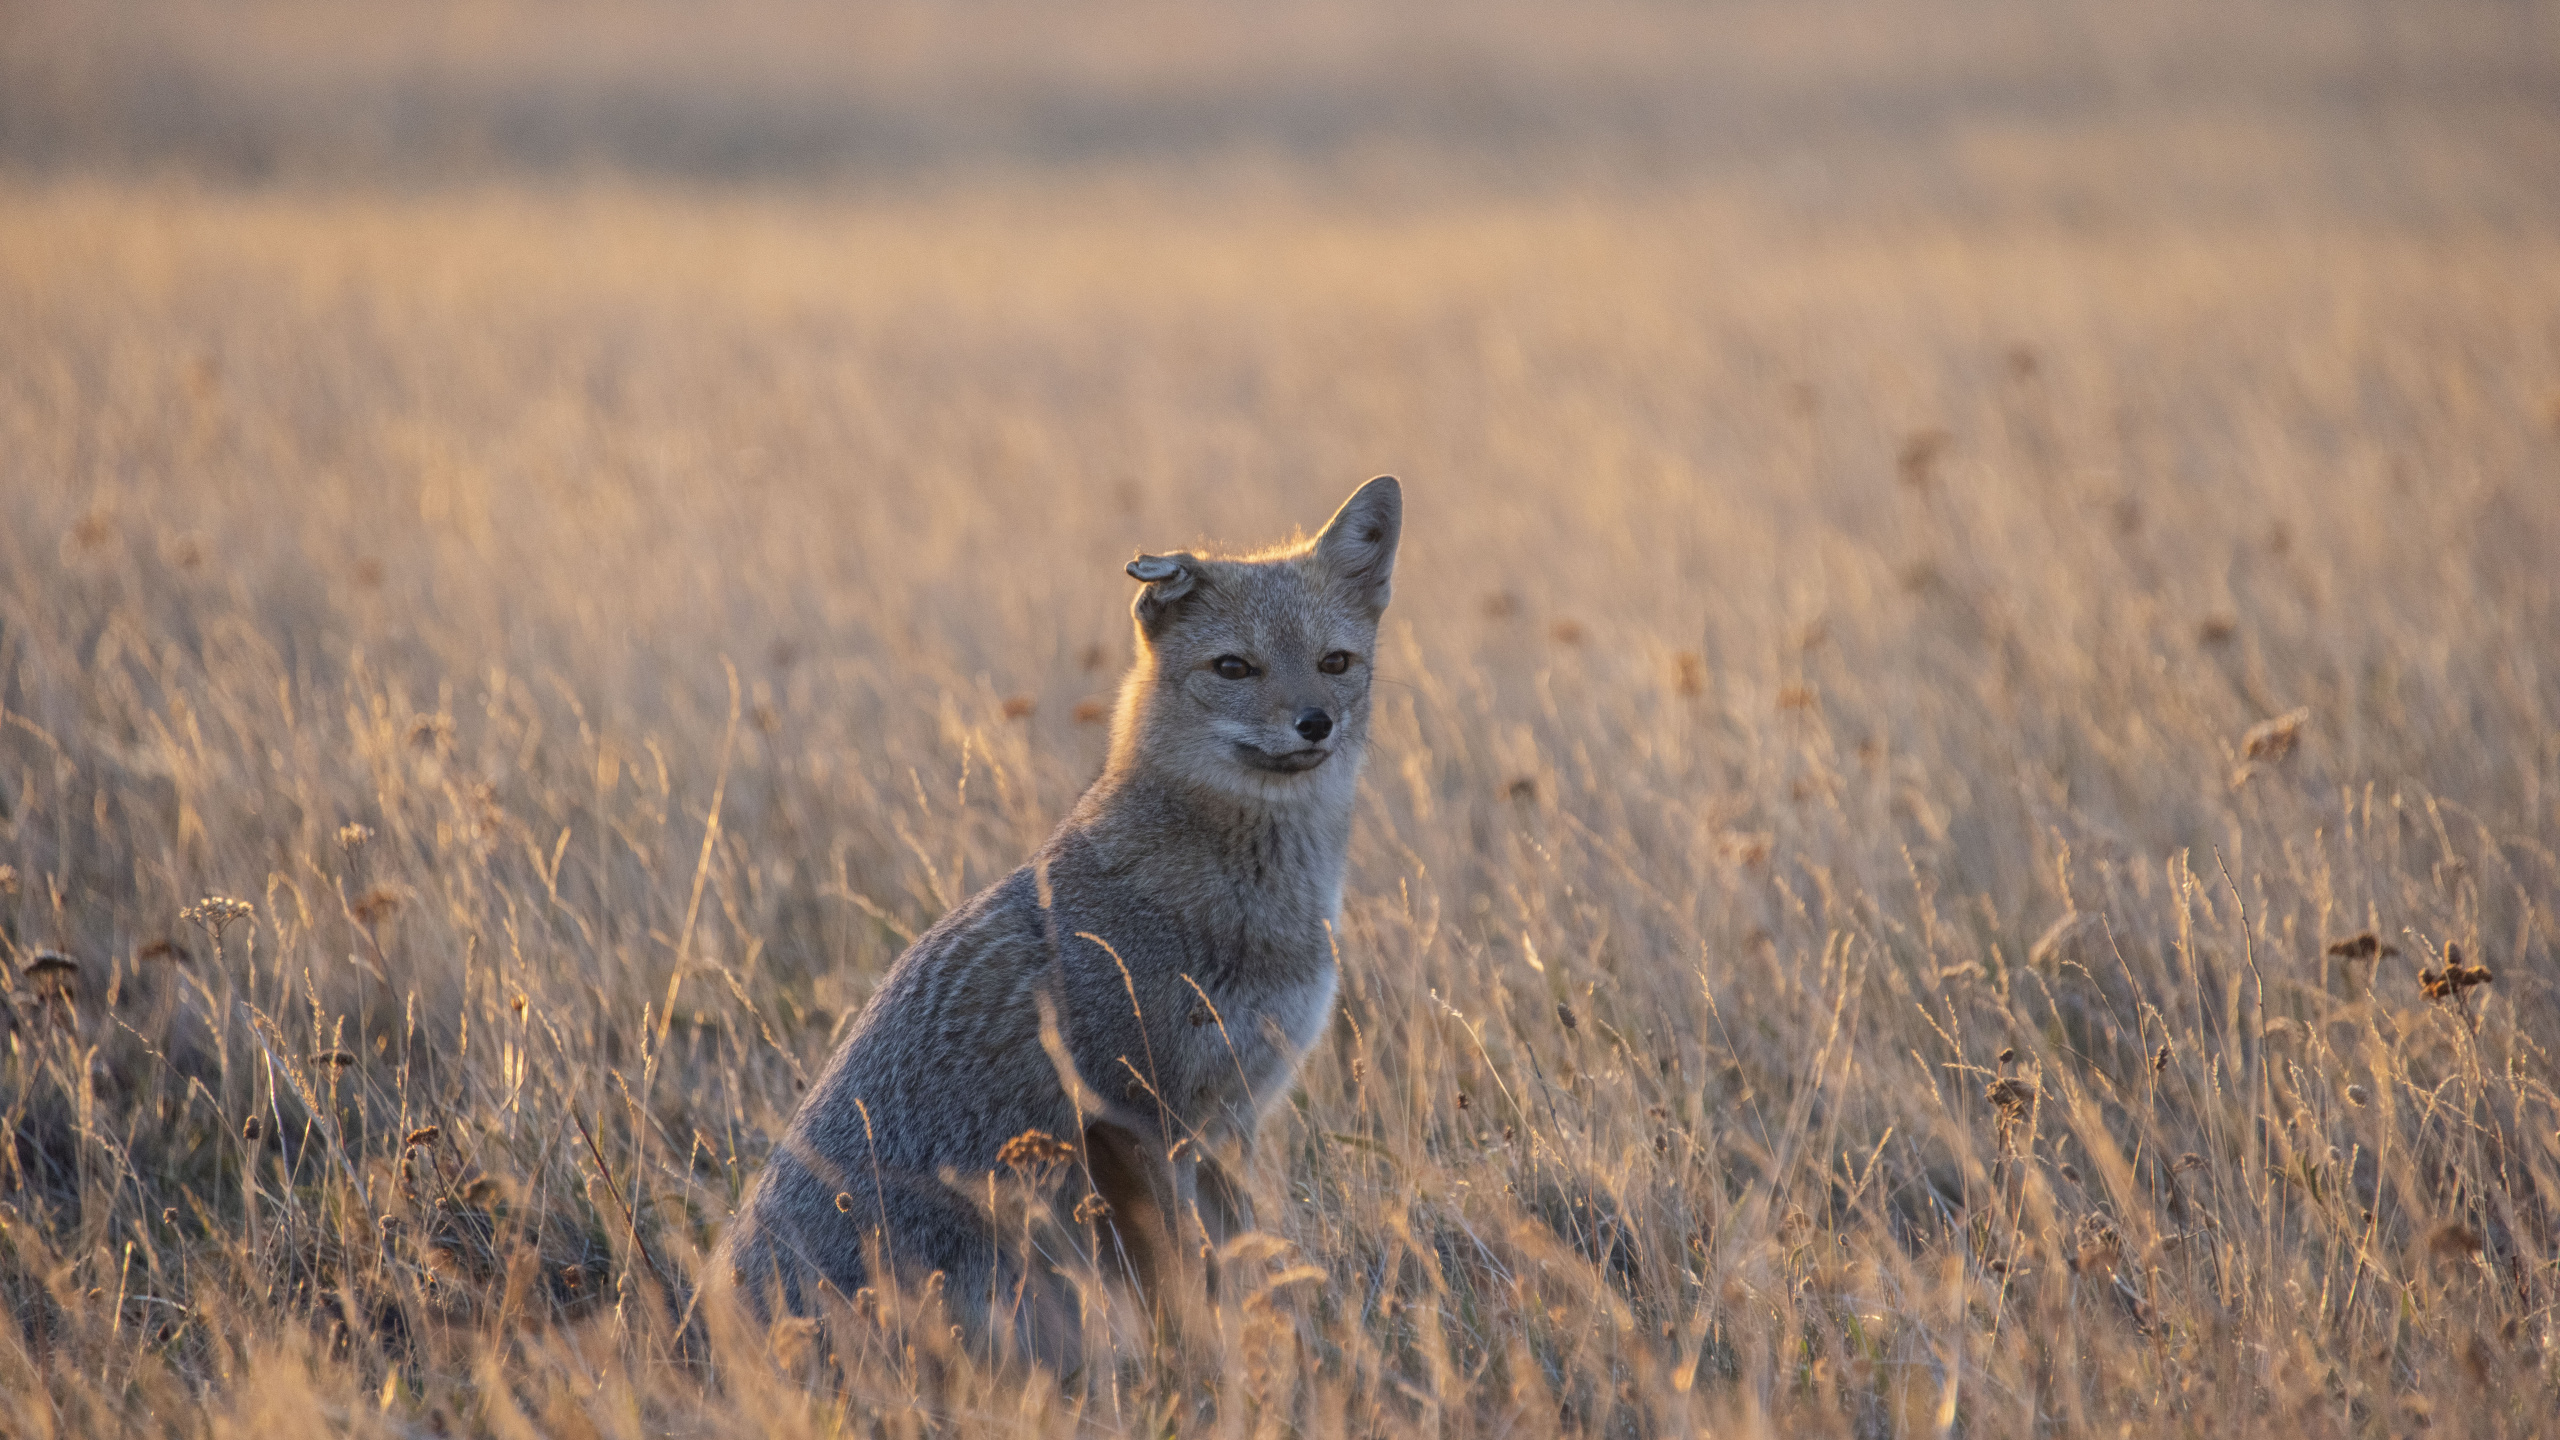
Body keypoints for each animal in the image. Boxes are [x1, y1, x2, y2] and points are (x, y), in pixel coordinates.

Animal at [716, 476, 1402, 1366]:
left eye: (1335, 663)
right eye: (1234, 667)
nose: (1315, 722)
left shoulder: (1231, 1118)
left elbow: (1242, 1266)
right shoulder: (1142, 1119)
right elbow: (1187, 1282)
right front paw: (1206, 1369)